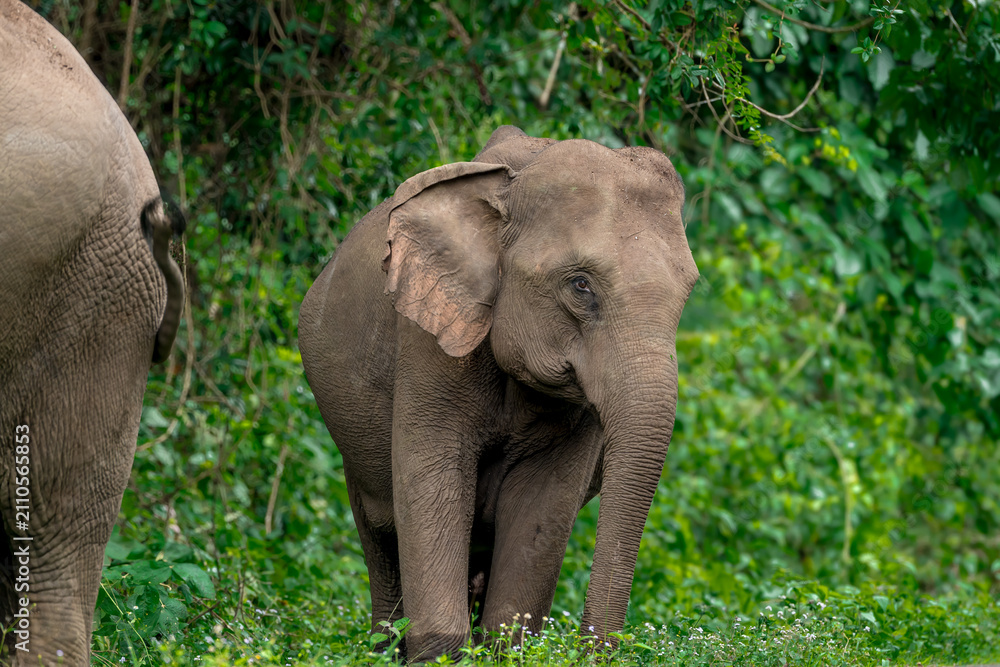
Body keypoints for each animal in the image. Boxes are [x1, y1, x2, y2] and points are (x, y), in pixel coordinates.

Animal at [299, 125, 698, 660]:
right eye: (580, 285)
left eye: (687, 293)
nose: (594, 648)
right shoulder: (426, 340)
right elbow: (432, 481)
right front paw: (440, 654)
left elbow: (542, 506)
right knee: (382, 539)